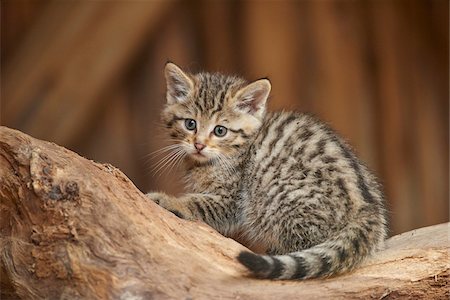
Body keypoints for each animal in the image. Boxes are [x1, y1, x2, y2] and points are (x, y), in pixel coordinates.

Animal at [148, 62, 386, 280]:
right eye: (190, 124)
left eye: (220, 130)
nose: (199, 145)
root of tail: (367, 208)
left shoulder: (232, 199)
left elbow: (199, 203)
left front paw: (167, 200)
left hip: (279, 194)